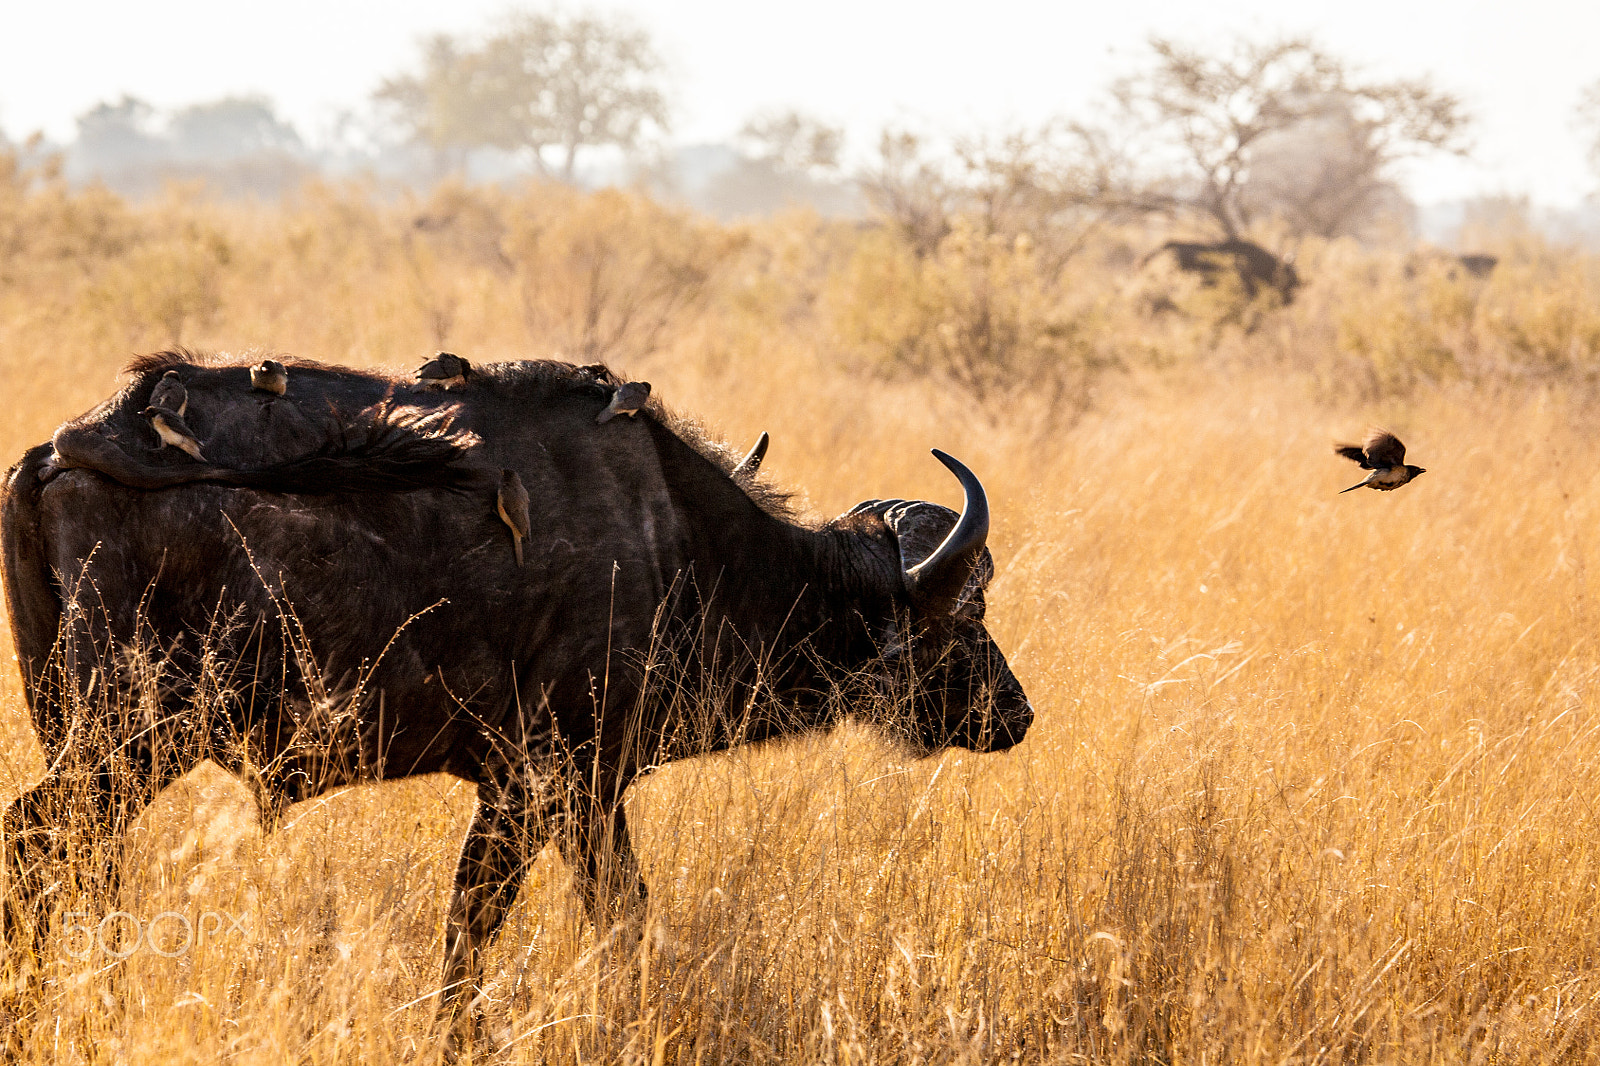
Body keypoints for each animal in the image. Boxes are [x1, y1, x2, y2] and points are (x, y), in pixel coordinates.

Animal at [0, 352, 1032, 1047]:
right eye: (966, 611)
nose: (1018, 715)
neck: (681, 543)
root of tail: (59, 451)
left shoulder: (576, 797)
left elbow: (596, 918)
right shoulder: (544, 785)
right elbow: (493, 924)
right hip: (124, 746)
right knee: (36, 848)